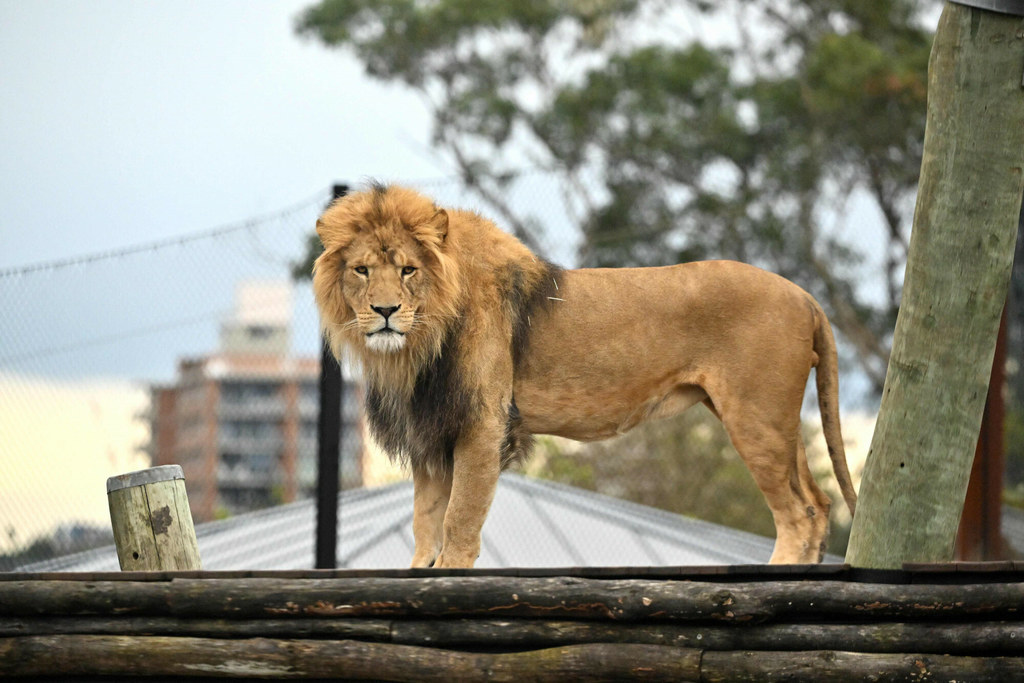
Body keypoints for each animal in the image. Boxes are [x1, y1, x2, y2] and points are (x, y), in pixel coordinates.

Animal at [311, 184, 856, 569]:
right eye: (362, 270)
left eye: (407, 270)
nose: (385, 312)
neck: (417, 347)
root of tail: (805, 296)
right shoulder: (431, 430)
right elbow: (426, 523)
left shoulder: (482, 425)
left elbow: (459, 520)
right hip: (776, 421)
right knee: (820, 503)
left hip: (755, 416)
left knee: (799, 512)